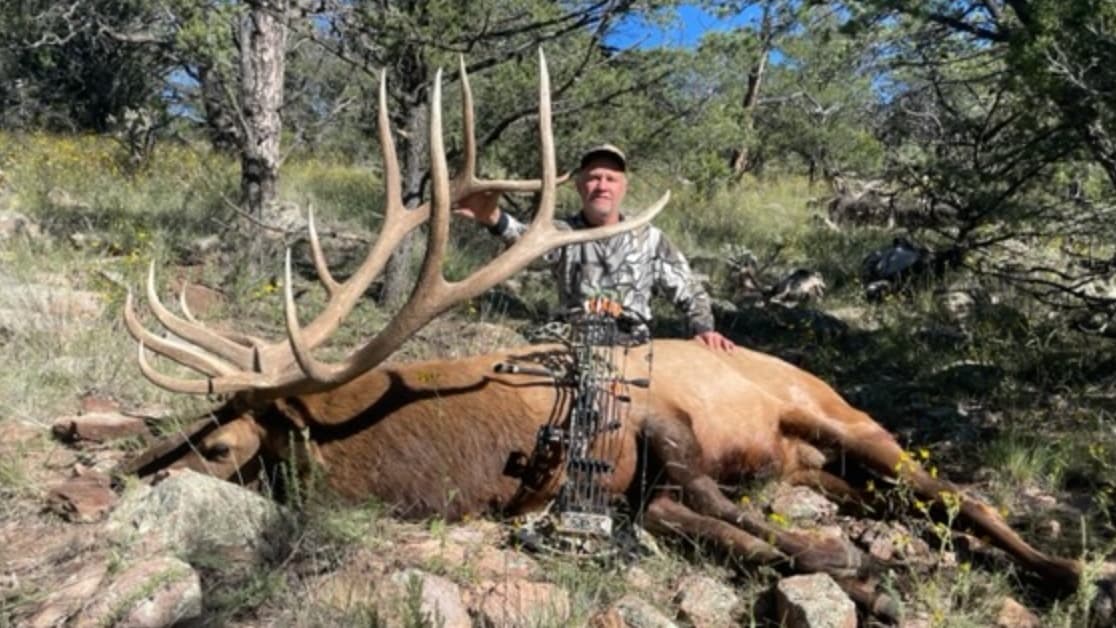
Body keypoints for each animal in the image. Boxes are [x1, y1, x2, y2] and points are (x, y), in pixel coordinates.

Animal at [119, 51, 1106, 622]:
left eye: (218, 445)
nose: (132, 474)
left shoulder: (663, 426)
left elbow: (712, 503)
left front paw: (863, 574)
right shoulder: (653, 485)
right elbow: (708, 522)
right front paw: (860, 576)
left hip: (841, 418)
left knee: (961, 496)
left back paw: (1066, 572)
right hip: (830, 470)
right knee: (907, 506)